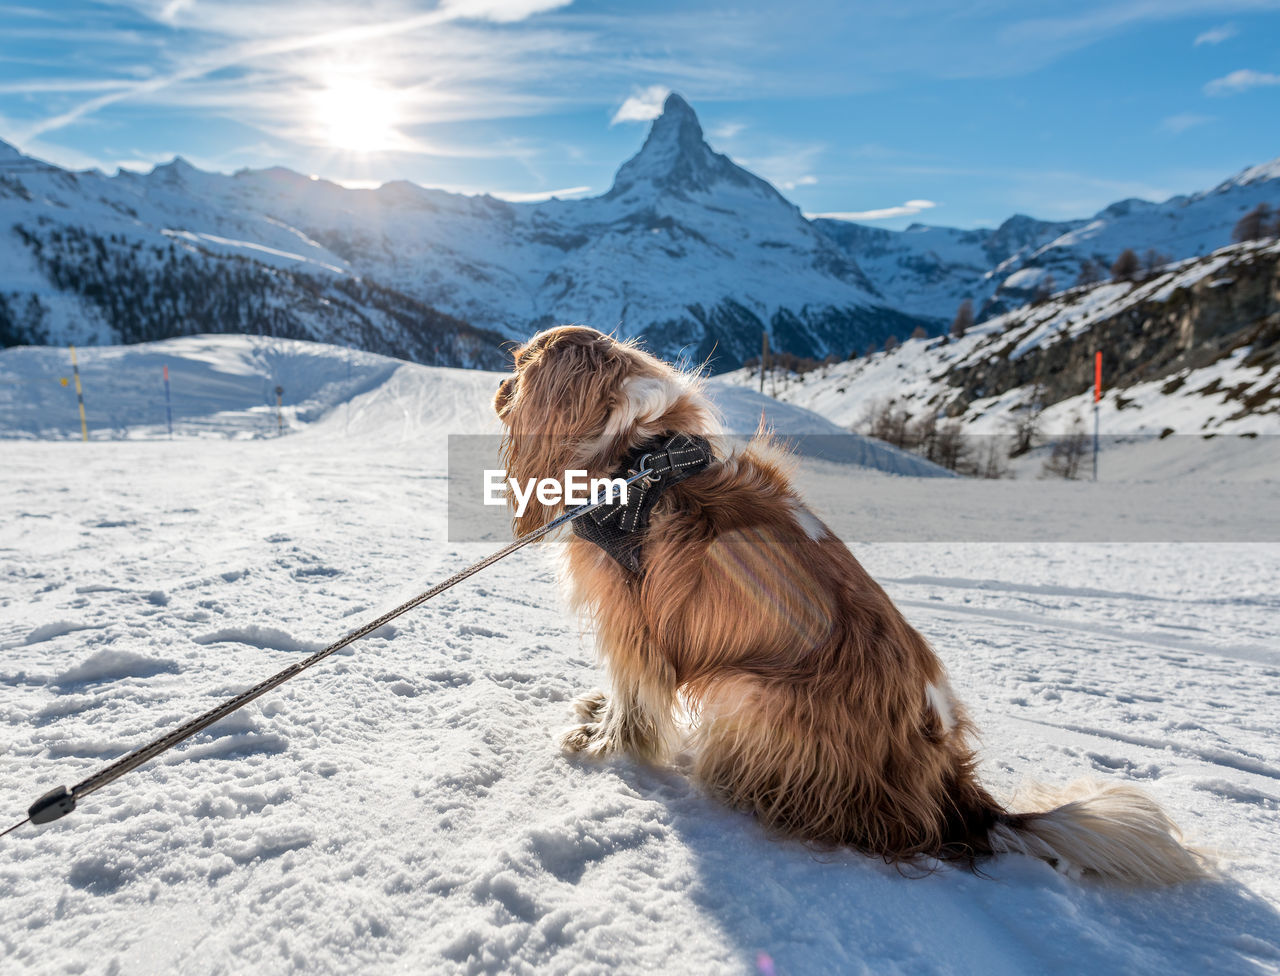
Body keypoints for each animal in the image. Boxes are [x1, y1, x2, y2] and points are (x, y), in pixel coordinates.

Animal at [496, 326, 1208, 881]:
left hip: (749, 689)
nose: (500, 389)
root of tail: (956, 797)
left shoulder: (636, 624)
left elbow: (633, 700)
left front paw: (603, 745)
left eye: (519, 363)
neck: (645, 454)